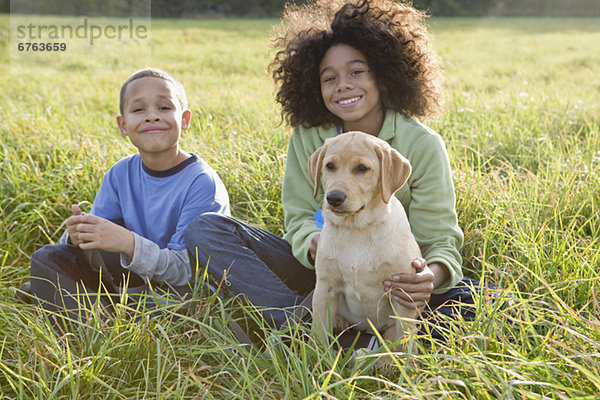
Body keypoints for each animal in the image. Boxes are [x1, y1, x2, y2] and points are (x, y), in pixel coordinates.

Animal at [310, 130, 422, 356]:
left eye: (362, 168)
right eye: (330, 166)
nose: (334, 198)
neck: (357, 229)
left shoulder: (401, 291)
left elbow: (403, 339)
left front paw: (403, 363)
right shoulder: (325, 288)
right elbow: (319, 333)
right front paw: (317, 359)